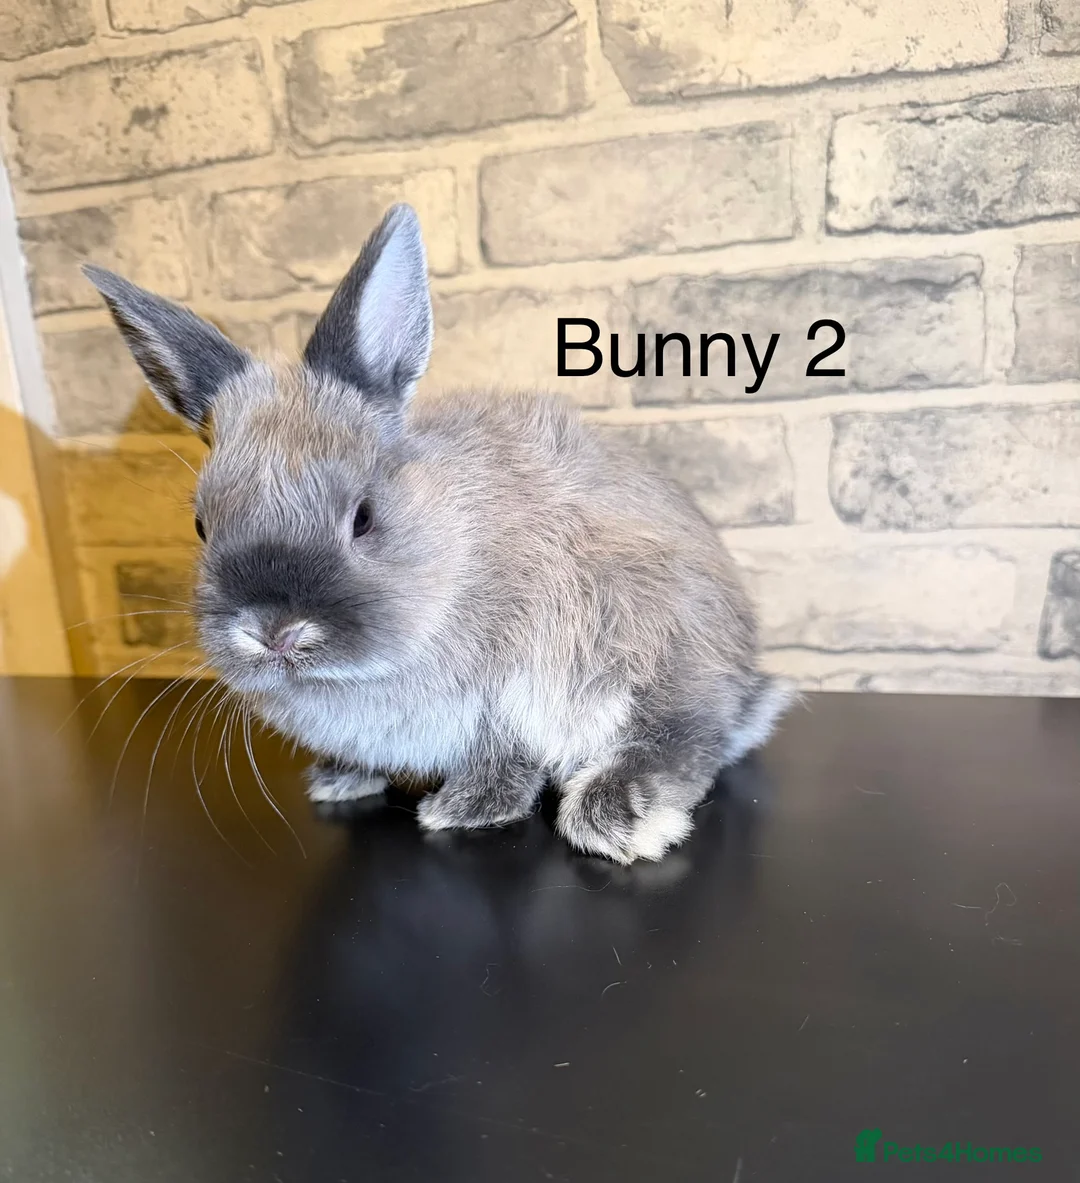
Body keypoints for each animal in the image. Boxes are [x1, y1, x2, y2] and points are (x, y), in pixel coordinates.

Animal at [83, 203, 794, 865]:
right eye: (201, 525)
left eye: (364, 517)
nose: (272, 630)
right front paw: (340, 780)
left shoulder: (519, 683)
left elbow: (509, 755)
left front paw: (462, 810)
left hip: (657, 645)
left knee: (686, 735)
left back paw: (617, 813)